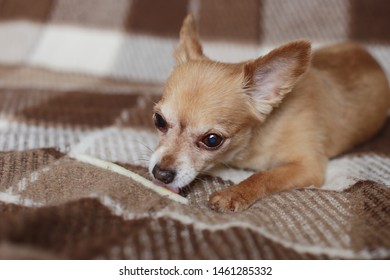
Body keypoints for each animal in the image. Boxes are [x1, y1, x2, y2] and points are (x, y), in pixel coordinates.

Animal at [148, 14, 388, 212]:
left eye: (212, 140)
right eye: (159, 120)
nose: (161, 173)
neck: (250, 146)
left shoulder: (308, 166)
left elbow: (265, 175)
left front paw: (234, 194)